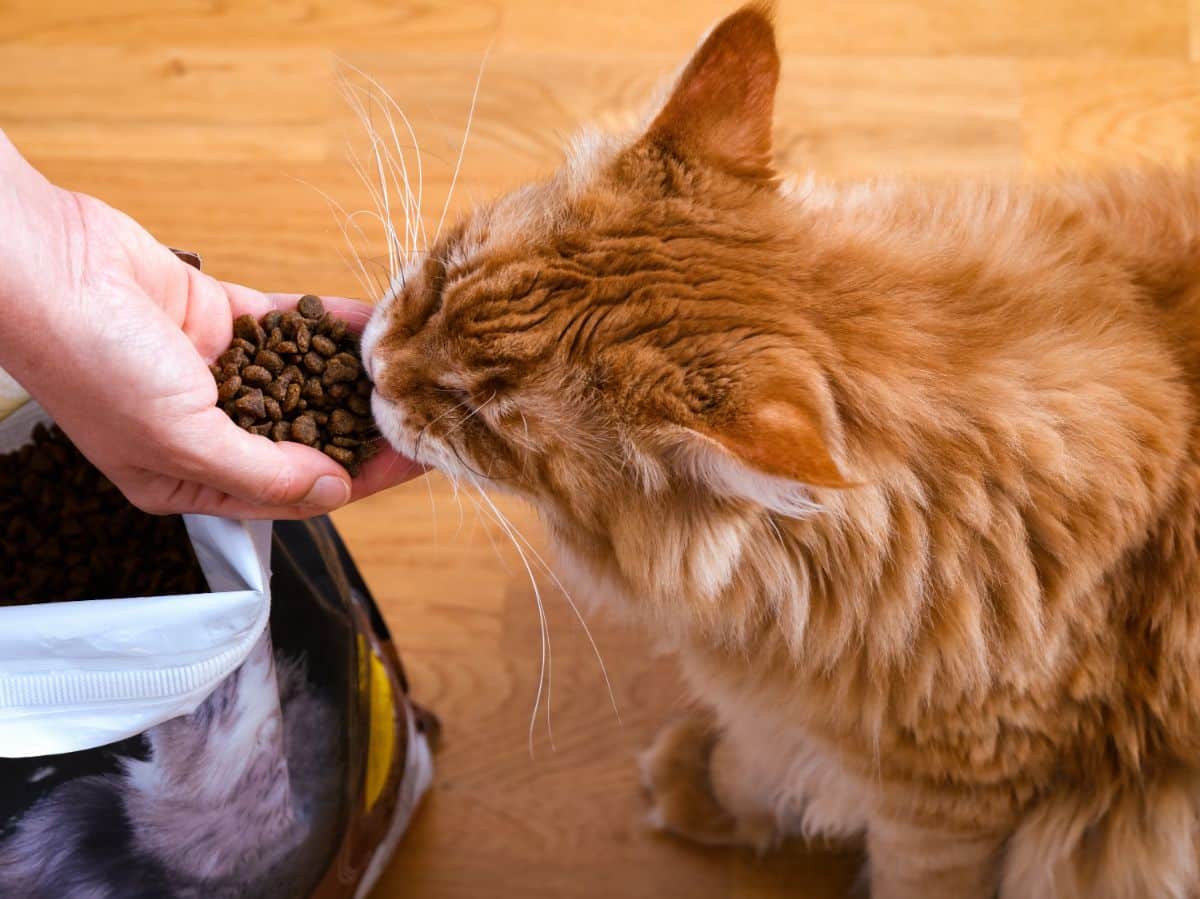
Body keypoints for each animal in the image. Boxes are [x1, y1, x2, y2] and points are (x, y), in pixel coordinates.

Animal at [360, 5, 1200, 892]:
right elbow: (766, 763)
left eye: (482, 413)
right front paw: (715, 784)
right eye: (441, 278)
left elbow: (907, 866)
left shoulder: (954, 798)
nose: (374, 366)